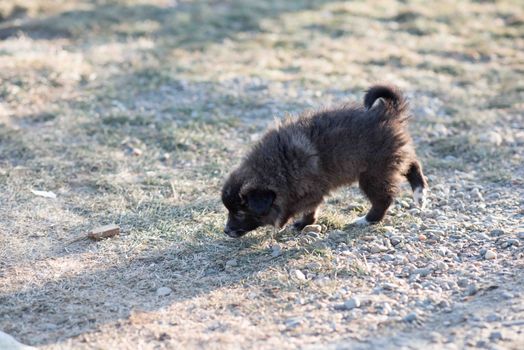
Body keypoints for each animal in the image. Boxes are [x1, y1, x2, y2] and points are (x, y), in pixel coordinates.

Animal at [220, 85, 426, 238]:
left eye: (240, 212)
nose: (226, 231)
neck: (276, 167)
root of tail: (387, 112)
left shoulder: (308, 190)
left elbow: (297, 208)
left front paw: (284, 223)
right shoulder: (310, 192)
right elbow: (310, 209)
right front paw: (303, 224)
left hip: (373, 172)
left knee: (384, 198)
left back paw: (366, 220)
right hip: (391, 159)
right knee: (413, 163)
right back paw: (420, 194)